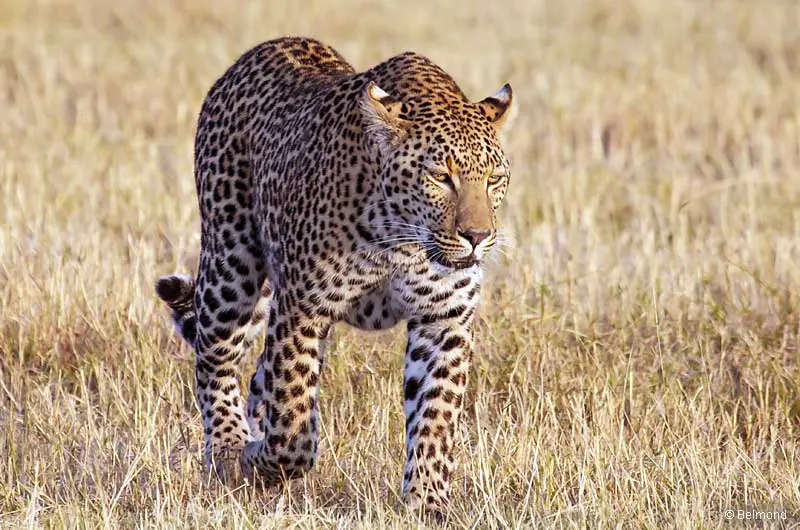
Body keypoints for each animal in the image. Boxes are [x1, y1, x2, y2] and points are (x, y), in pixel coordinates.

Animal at [155, 36, 514, 514]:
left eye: (494, 179)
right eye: (441, 177)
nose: (477, 236)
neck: (403, 241)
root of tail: (268, 46)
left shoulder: (444, 320)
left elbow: (435, 417)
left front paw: (427, 504)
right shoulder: (302, 308)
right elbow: (292, 422)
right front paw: (258, 462)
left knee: (257, 374)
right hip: (231, 266)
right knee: (215, 360)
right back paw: (230, 449)